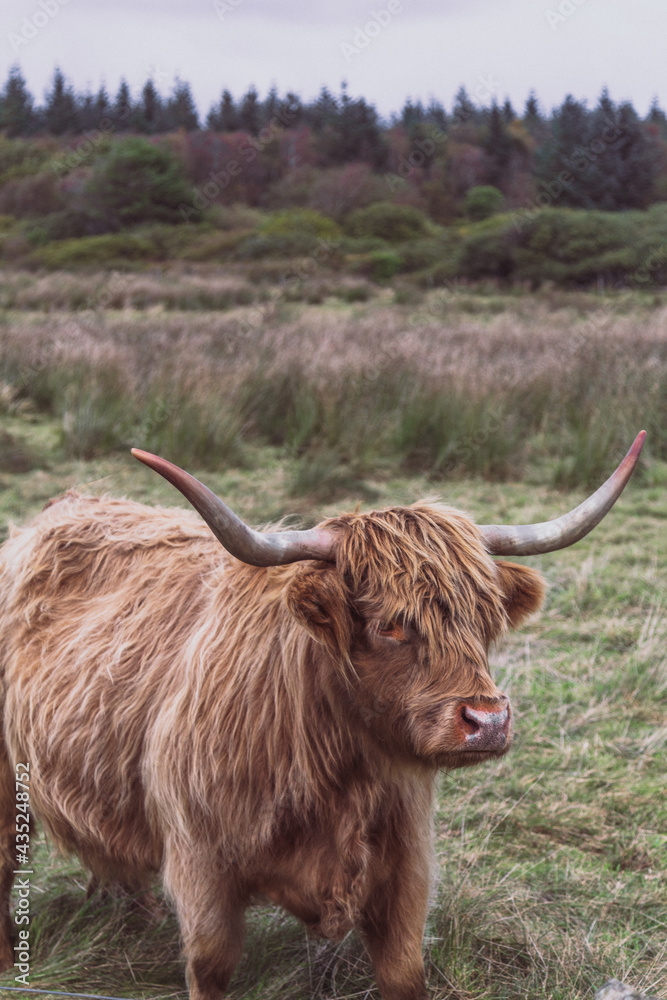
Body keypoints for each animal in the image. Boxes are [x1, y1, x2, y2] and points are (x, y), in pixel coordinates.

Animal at [0, 432, 648, 1000]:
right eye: (390, 624)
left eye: (485, 619)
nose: (486, 721)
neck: (336, 772)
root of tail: (63, 506)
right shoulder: (202, 865)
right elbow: (210, 968)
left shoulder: (405, 872)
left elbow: (405, 973)